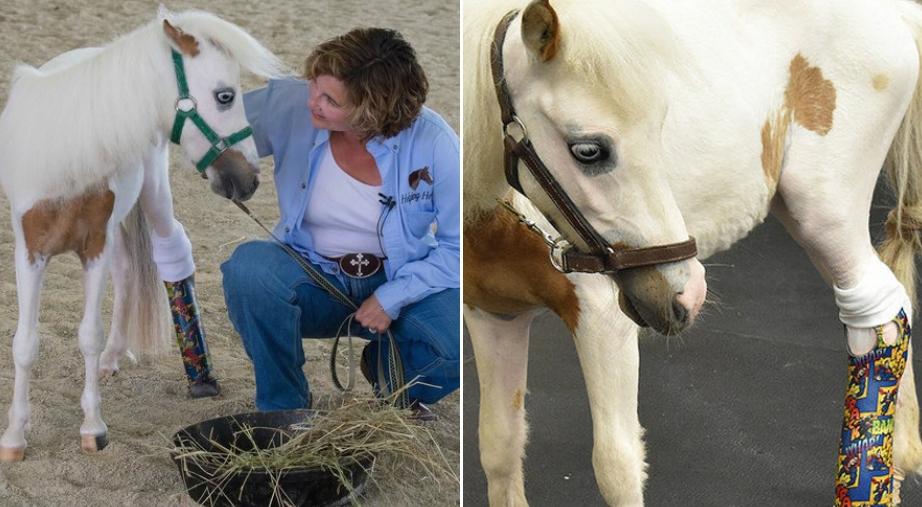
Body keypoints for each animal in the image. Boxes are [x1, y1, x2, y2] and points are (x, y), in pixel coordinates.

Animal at [0, 5, 280, 462]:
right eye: (224, 95)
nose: (249, 179)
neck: (69, 152)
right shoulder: (30, 252)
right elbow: (24, 344)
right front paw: (14, 437)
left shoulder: (93, 246)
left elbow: (88, 336)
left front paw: (93, 428)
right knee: (128, 271)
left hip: (150, 200)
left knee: (166, 255)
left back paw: (185, 373)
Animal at [464, 0, 920, 504]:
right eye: (588, 150)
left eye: (659, 126)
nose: (687, 293)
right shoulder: (494, 315)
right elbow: (500, 447)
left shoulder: (601, 317)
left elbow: (616, 466)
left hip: (824, 212)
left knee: (876, 307)